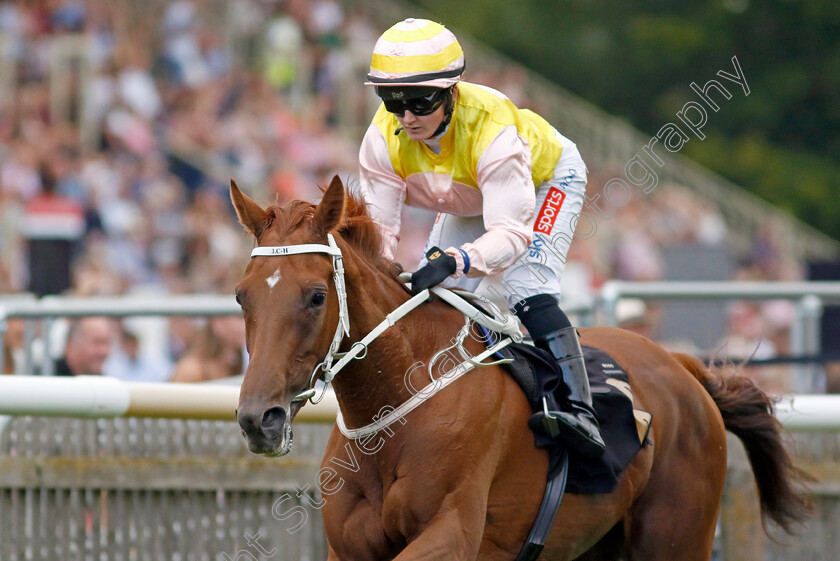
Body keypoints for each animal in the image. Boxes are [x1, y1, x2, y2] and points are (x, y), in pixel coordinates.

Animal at [230, 178, 808, 560]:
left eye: (316, 295)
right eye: (241, 296)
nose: (259, 420)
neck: (395, 411)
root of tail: (683, 367)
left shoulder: (451, 533)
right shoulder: (350, 547)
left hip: (676, 539)